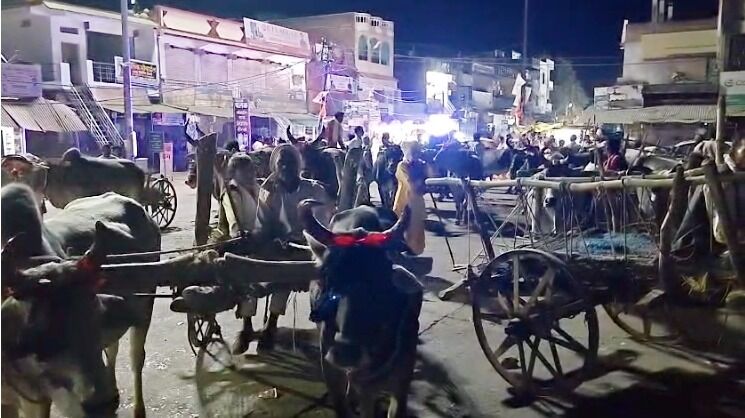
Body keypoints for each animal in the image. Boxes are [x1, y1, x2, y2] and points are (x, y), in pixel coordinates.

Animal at [1, 183, 161, 418]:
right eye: (40, 332)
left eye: (95, 318)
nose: (101, 405)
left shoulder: (37, 401)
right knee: (112, 349)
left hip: (146, 308)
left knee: (136, 359)